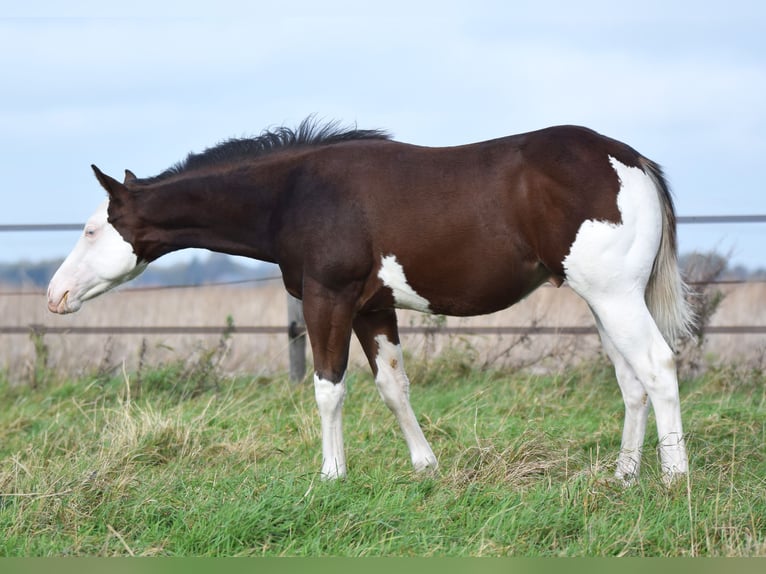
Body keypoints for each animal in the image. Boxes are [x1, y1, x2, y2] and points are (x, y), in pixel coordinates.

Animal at [47, 118, 693, 484]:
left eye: (91, 230)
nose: (56, 294)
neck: (296, 193)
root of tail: (631, 161)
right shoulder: (372, 309)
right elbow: (392, 387)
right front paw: (425, 467)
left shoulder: (327, 300)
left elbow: (329, 389)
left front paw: (332, 475)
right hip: (603, 303)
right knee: (631, 382)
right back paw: (623, 476)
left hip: (614, 298)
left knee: (658, 368)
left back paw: (673, 478)